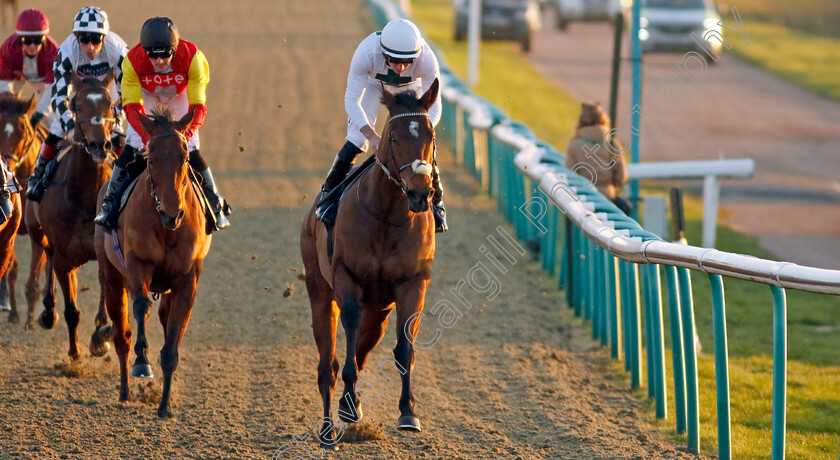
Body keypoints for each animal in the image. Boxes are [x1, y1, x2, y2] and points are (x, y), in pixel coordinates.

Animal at [25, 73, 115, 360]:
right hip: (36, 230)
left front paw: (100, 336)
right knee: (45, 253)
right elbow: (72, 310)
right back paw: (47, 311)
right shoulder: (64, 258)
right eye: (78, 106)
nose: (99, 145)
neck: (84, 199)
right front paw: (74, 353)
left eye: (110, 105)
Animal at [93, 105, 212, 416]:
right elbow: (140, 307)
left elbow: (172, 339)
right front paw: (142, 363)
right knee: (122, 334)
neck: (165, 227)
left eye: (185, 157)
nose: (173, 214)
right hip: (111, 277)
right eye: (151, 158)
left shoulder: (186, 280)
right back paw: (125, 391)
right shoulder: (137, 264)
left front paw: (165, 407)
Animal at [298, 79, 440, 450]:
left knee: (365, 343)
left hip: (380, 307)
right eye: (394, 137)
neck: (388, 216)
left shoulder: (412, 284)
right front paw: (348, 404)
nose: (421, 194)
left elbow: (404, 349)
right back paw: (328, 429)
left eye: (431, 135)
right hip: (319, 289)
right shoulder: (347, 279)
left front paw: (408, 413)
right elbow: (347, 340)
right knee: (327, 364)